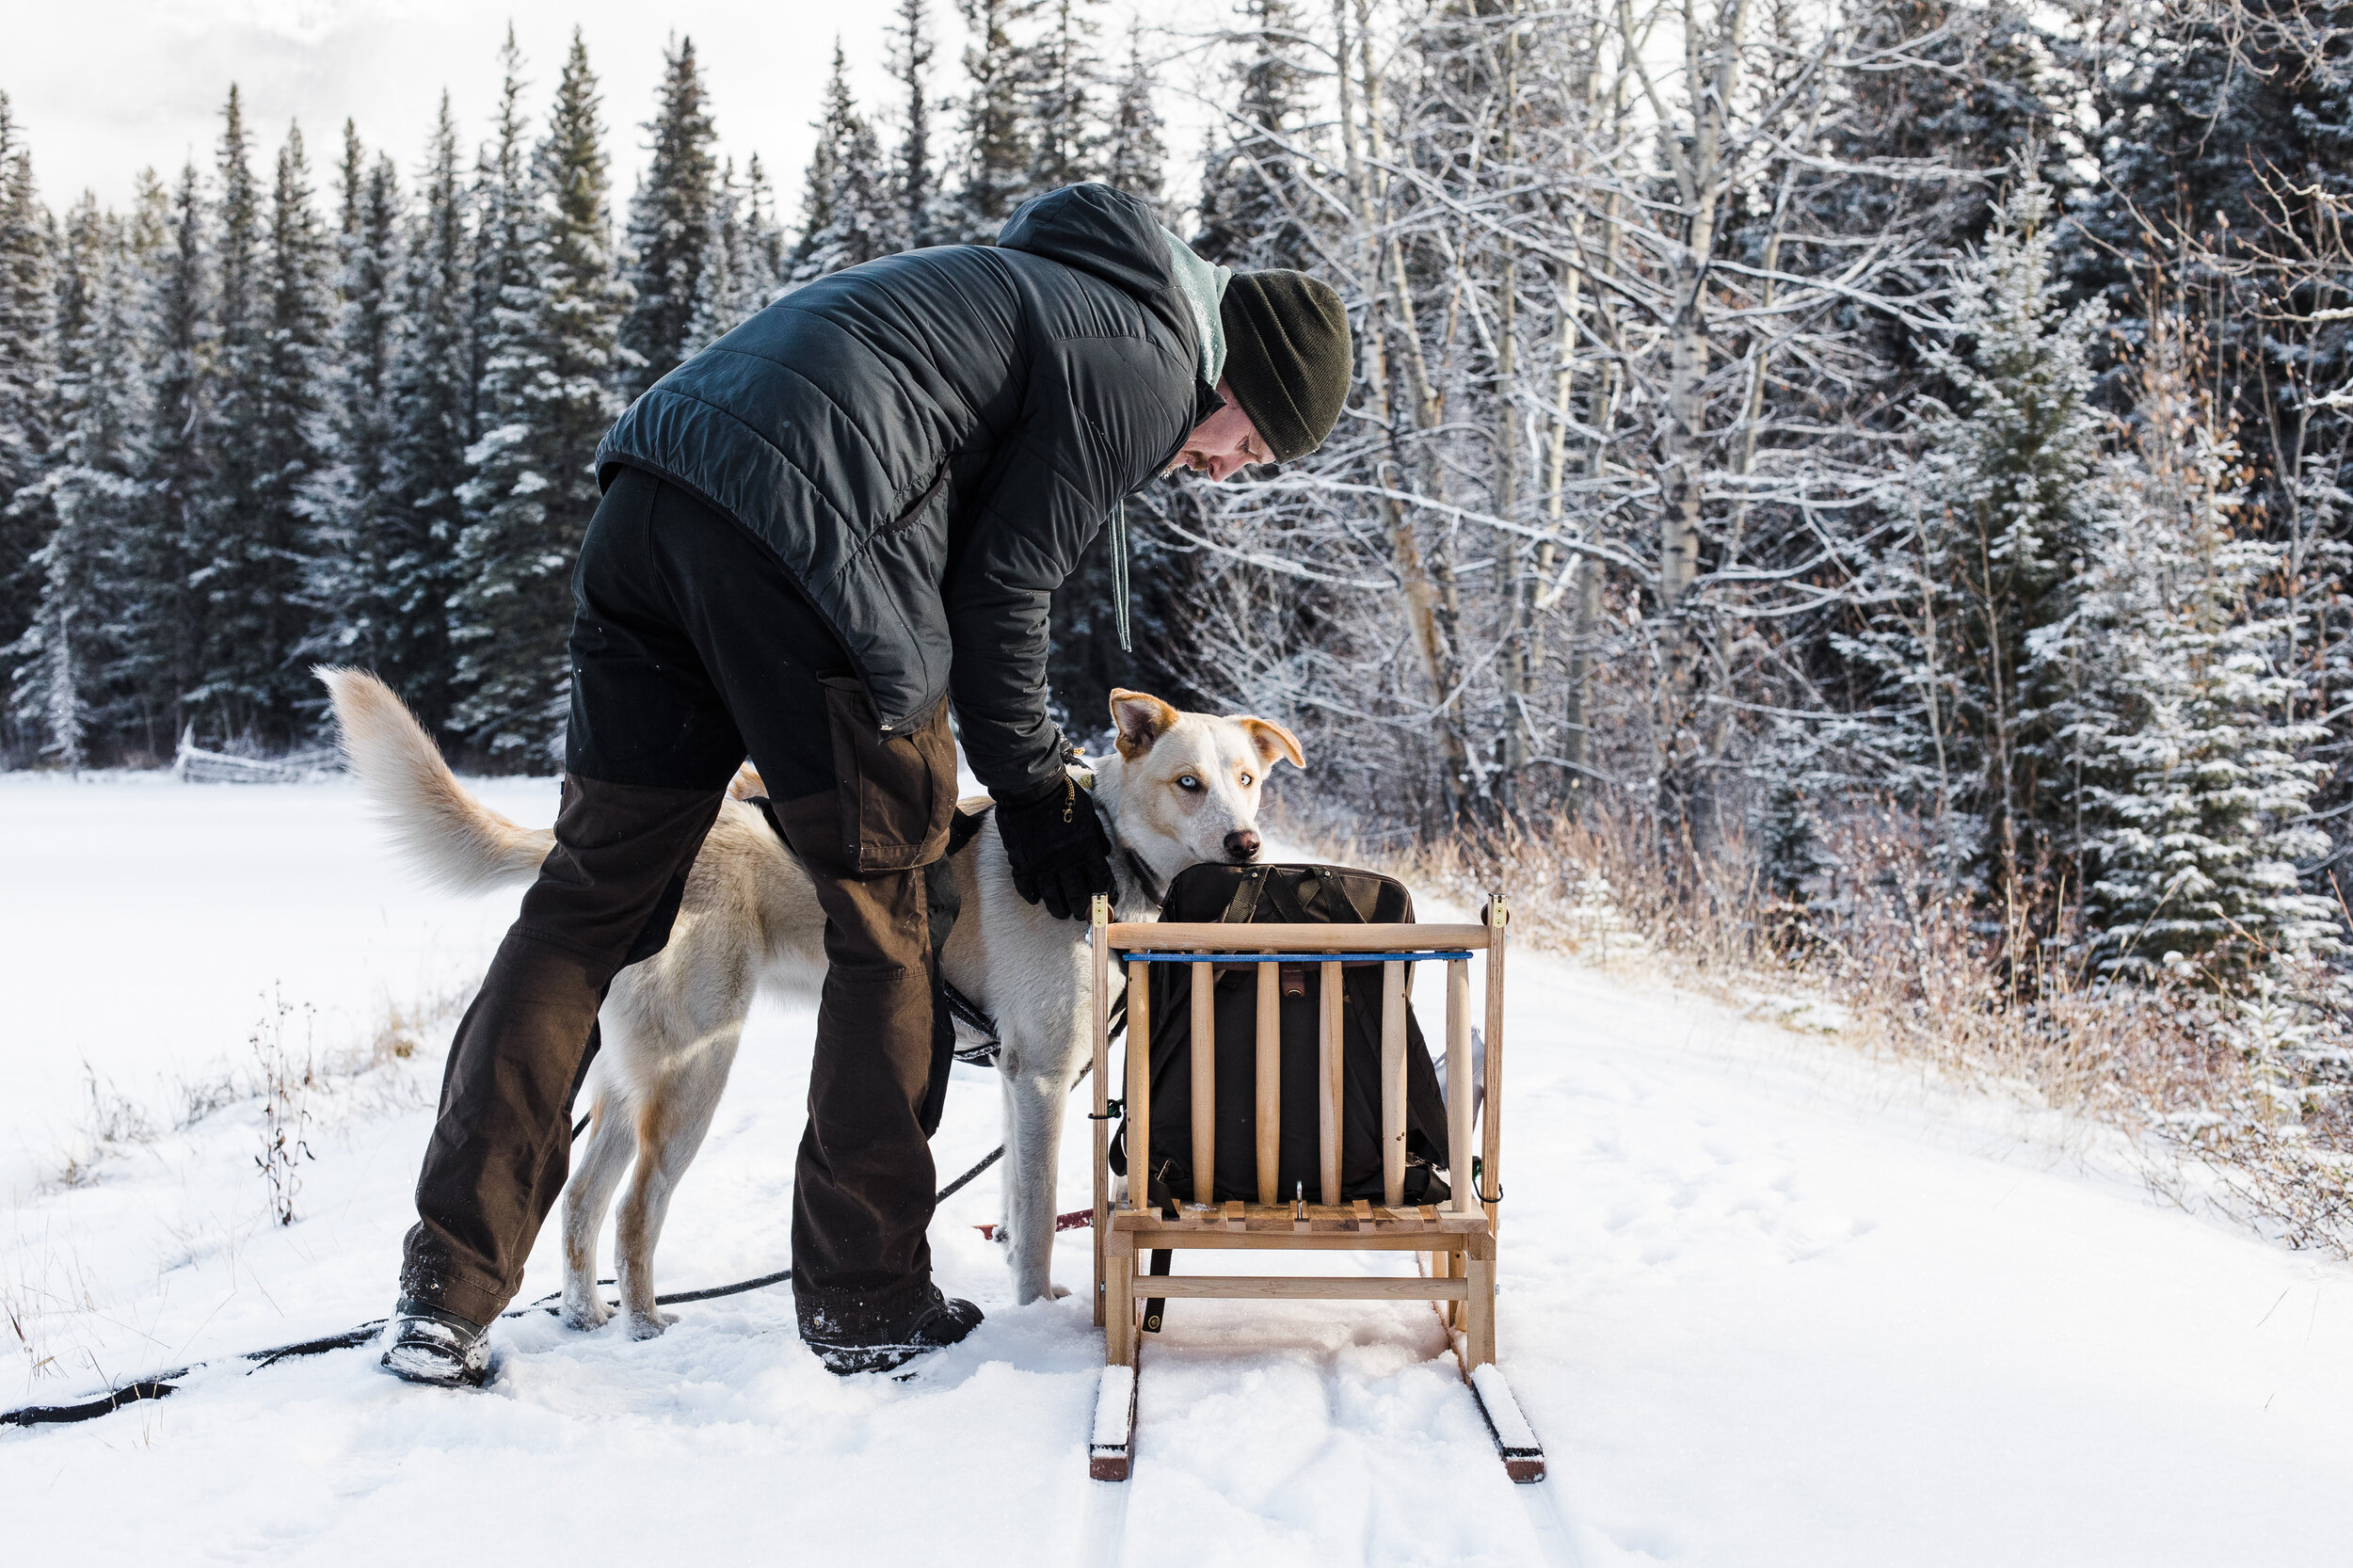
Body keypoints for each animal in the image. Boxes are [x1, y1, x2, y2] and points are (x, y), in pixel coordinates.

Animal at [322, 664, 1308, 1336]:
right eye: (1188, 782)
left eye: (1248, 780)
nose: (1248, 844)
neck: (1105, 857)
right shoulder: (1039, 1077)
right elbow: (1034, 1220)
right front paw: (1036, 1308)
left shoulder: (1024, 1082)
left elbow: (1020, 1207)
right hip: (697, 1073)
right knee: (636, 1210)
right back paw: (643, 1324)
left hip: (629, 1087)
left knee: (578, 1202)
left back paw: (587, 1315)